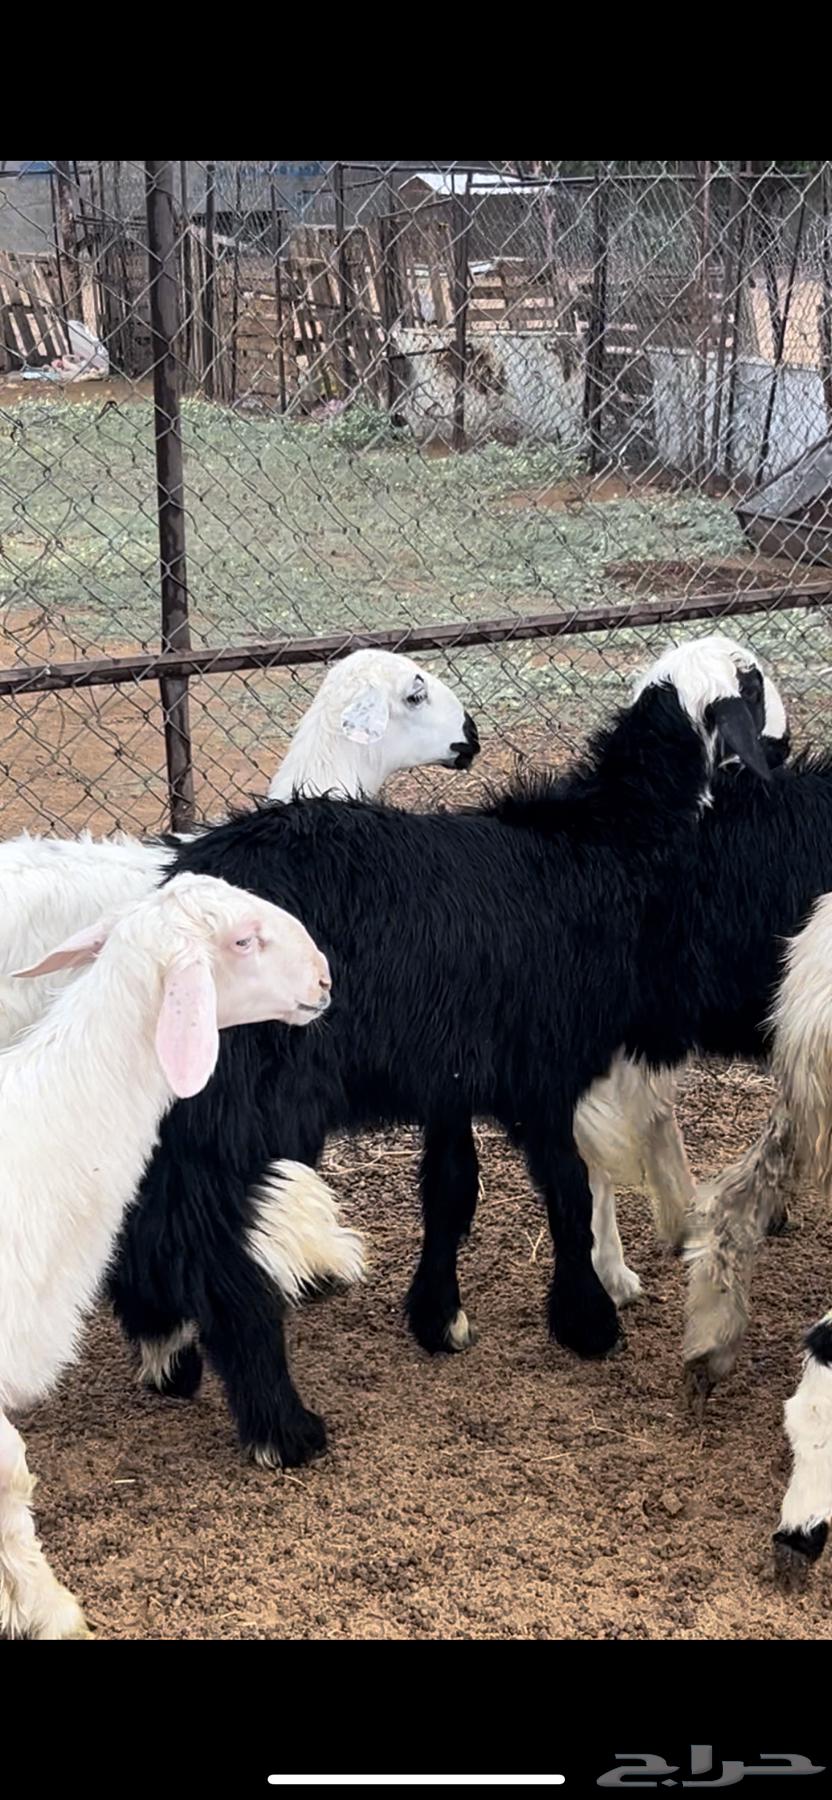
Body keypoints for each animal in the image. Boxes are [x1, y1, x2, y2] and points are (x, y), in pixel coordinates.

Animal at [102, 635, 775, 1471]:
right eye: (755, 681)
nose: (783, 744)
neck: (604, 841)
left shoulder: (452, 1073)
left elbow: (450, 1191)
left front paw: (437, 1319)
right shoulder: (543, 1065)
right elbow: (567, 1190)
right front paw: (587, 1321)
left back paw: (164, 1345)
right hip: (249, 1096)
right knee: (211, 1242)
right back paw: (279, 1424)